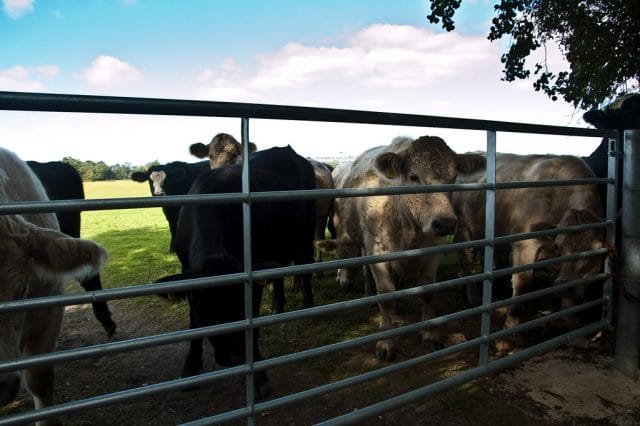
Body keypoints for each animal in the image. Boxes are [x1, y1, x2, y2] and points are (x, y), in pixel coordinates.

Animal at [161, 146, 316, 396]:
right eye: (207, 310)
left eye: (242, 304)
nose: (236, 356)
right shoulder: (187, 271)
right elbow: (193, 324)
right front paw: (190, 369)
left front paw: (259, 376)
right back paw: (277, 307)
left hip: (306, 231)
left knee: (306, 264)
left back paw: (307, 304)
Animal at [322, 135, 472, 362]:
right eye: (413, 176)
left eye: (453, 177)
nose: (445, 223)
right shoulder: (378, 254)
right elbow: (386, 297)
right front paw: (386, 343)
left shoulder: (434, 252)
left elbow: (428, 293)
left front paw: (430, 335)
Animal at [452, 155, 604, 328]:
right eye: (558, 246)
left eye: (594, 249)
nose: (566, 286)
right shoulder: (525, 241)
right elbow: (523, 280)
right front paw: (512, 318)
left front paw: (570, 317)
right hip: (462, 226)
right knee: (466, 258)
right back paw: (473, 297)